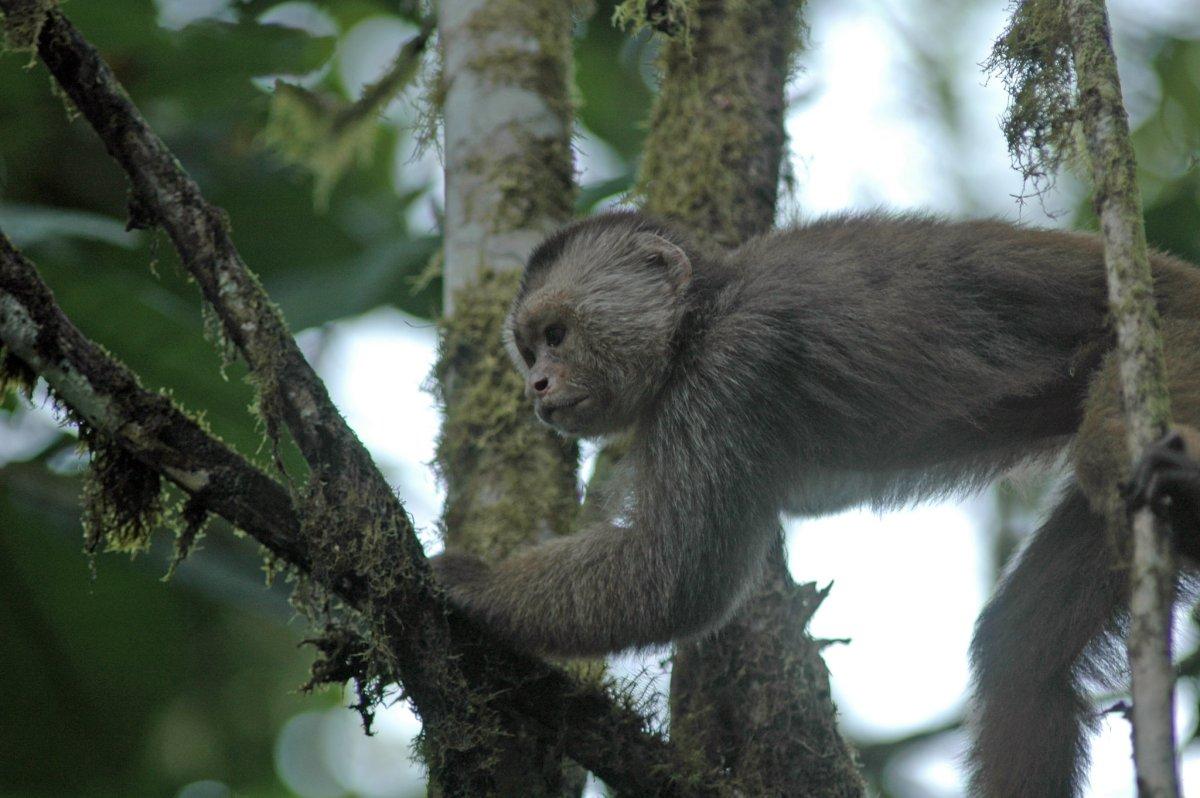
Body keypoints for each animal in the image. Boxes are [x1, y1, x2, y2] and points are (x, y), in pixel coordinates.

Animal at [434, 211, 1200, 796]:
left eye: (556, 336)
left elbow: (678, 579)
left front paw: (471, 586)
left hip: (1173, 344)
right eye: (530, 348)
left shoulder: (726, 368)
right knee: (1021, 654)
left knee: (1105, 456)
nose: (535, 385)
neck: (700, 316)